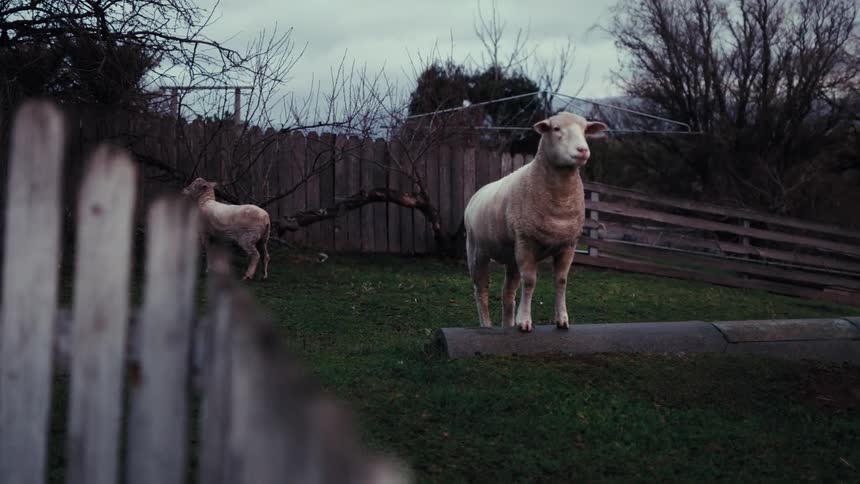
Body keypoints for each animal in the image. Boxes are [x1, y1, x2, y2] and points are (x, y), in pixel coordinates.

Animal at [463, 112, 608, 332]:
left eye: (585, 130)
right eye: (556, 129)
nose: (583, 150)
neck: (560, 199)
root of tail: (477, 193)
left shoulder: (569, 245)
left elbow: (561, 281)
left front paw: (562, 320)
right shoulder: (526, 242)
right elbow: (530, 281)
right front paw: (524, 321)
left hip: (510, 255)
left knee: (507, 292)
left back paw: (507, 325)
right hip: (477, 251)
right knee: (481, 290)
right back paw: (486, 325)